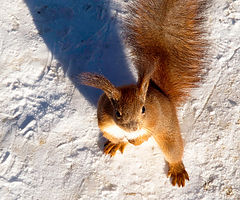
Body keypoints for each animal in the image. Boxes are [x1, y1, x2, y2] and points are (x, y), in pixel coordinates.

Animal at [79, 0, 208, 188]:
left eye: (143, 109)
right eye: (117, 113)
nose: (133, 128)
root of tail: (163, 95)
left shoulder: (154, 119)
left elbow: (147, 133)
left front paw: (136, 140)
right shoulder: (104, 121)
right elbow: (115, 136)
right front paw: (118, 143)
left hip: (169, 131)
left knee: (173, 151)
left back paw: (177, 169)